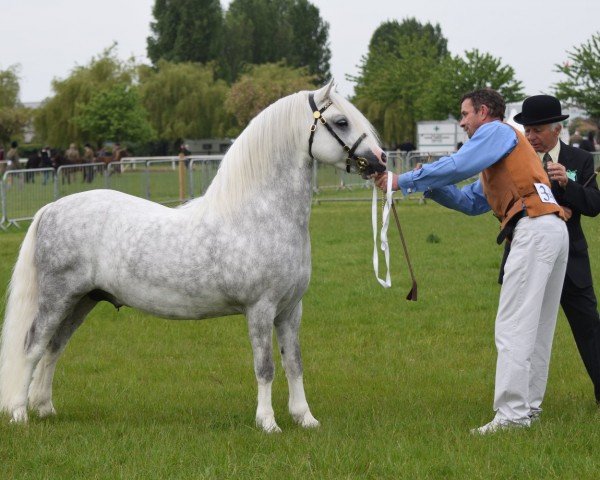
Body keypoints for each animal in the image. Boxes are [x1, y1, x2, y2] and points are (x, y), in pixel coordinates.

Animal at [0, 81, 386, 432]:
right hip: (57, 298)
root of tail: (51, 208)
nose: (380, 161)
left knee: (54, 348)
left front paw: (305, 418)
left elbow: (294, 363)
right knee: (33, 346)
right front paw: (268, 423)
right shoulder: (260, 309)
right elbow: (265, 367)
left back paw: (45, 408)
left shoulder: (291, 309)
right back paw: (20, 413)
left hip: (83, 300)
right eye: (340, 121)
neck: (259, 214)